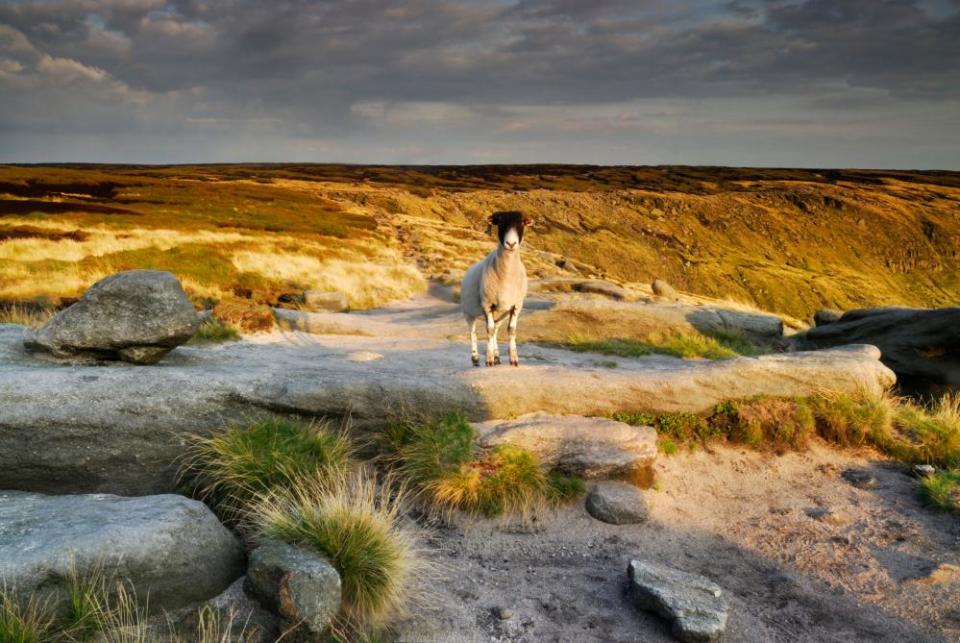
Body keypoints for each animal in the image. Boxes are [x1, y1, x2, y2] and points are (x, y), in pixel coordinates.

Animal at [460, 211, 532, 368]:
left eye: (522, 223)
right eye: (500, 222)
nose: (511, 244)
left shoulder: (516, 305)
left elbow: (511, 330)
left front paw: (513, 359)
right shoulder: (487, 304)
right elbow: (489, 330)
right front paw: (489, 359)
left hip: (501, 314)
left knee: (496, 330)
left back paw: (498, 356)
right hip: (468, 313)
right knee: (473, 333)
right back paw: (475, 358)